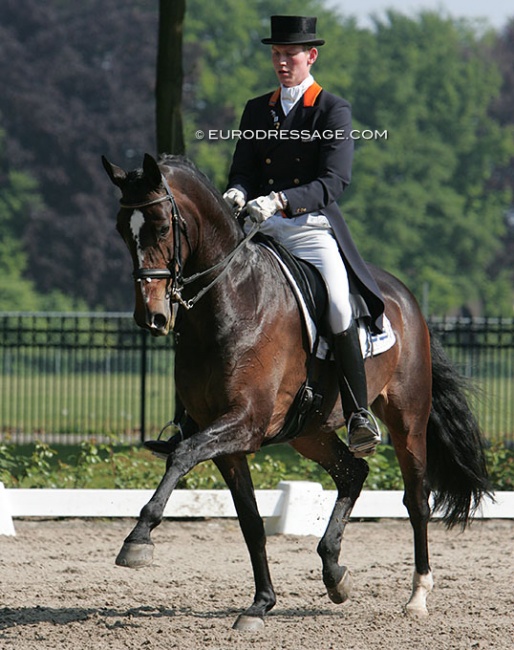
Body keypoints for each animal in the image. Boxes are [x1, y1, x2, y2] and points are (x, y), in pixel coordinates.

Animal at [100, 151, 488, 628]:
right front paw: (260, 604)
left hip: (407, 420)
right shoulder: (227, 441)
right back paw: (334, 571)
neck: (230, 302)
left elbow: (182, 454)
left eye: (159, 226)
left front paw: (138, 539)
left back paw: (417, 596)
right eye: (122, 229)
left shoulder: (244, 423)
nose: (151, 317)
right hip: (310, 432)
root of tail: (404, 298)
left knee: (417, 499)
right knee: (352, 473)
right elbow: (250, 522)